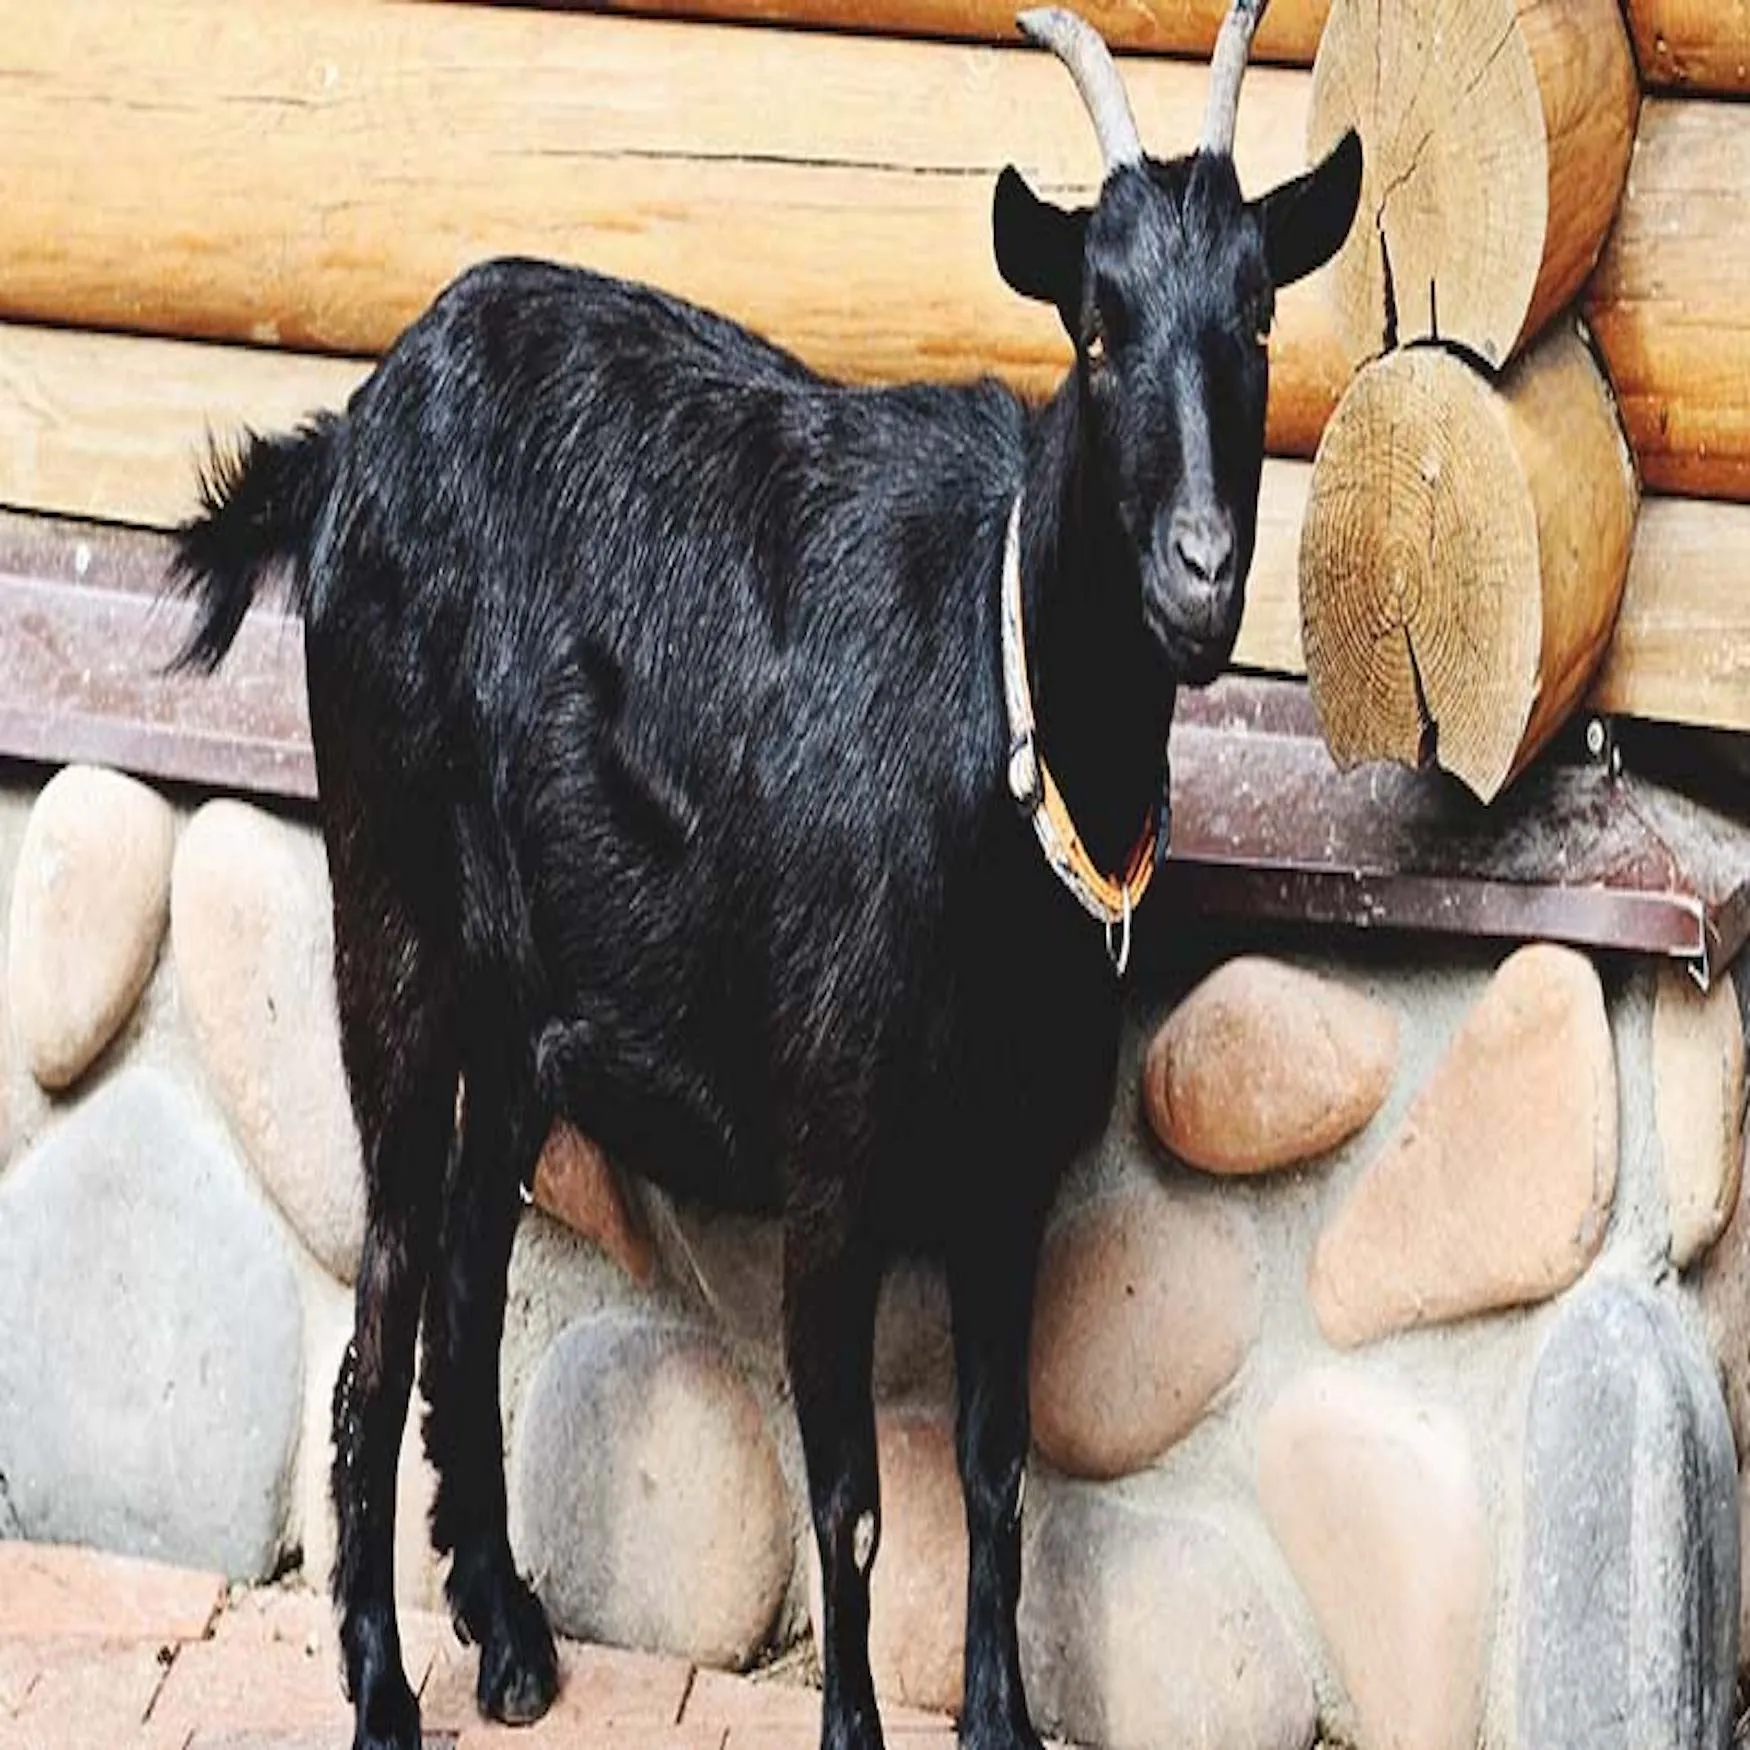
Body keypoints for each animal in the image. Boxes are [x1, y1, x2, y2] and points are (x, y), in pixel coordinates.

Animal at [171, 8, 1359, 1747]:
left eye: (1260, 311)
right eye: (1094, 322)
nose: (1201, 577)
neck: (998, 713)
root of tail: (346, 443)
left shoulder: (1008, 1166)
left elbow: (996, 1474)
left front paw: (998, 1719)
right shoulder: (832, 1159)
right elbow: (853, 1502)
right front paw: (856, 1726)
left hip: (528, 1007)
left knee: (464, 1268)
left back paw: (506, 1630)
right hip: (388, 914)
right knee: (381, 1299)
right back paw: (384, 1685)